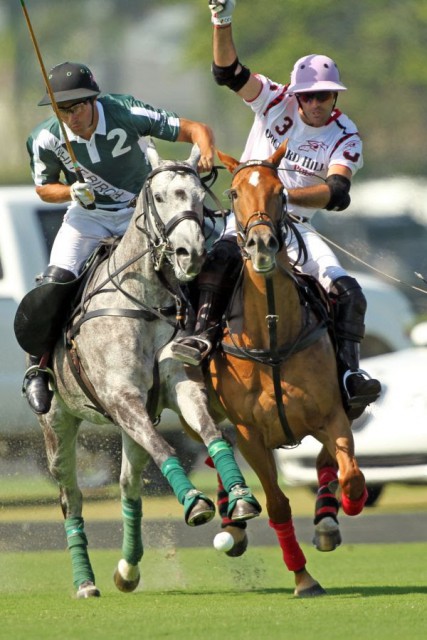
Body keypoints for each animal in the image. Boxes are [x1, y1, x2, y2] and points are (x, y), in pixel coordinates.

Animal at [38, 142, 260, 596]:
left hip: (134, 423)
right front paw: (195, 503)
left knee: (129, 485)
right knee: (72, 497)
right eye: (159, 196)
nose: (191, 254)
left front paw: (241, 496)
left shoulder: (176, 388)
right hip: (59, 423)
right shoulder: (122, 397)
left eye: (198, 197)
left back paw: (127, 569)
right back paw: (85, 583)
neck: (144, 300)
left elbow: (212, 436)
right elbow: (168, 449)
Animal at [211, 142, 368, 596]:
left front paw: (348, 504)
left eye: (281, 192)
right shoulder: (249, 433)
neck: (273, 337)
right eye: (233, 193)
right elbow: (278, 504)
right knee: (213, 447)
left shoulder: (332, 414)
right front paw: (302, 577)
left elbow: (350, 473)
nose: (262, 244)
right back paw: (232, 522)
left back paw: (328, 519)